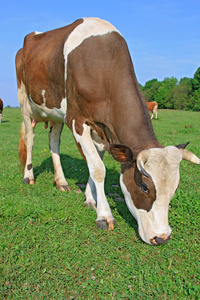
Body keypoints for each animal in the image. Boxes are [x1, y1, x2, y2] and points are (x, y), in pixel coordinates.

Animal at [14, 17, 199, 245]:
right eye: (145, 187)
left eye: (174, 188)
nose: (162, 237)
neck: (101, 64)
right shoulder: (76, 120)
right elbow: (98, 168)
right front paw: (104, 215)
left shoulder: (101, 129)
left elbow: (95, 162)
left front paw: (89, 198)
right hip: (24, 99)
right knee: (30, 138)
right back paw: (28, 176)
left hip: (55, 109)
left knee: (54, 141)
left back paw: (61, 181)